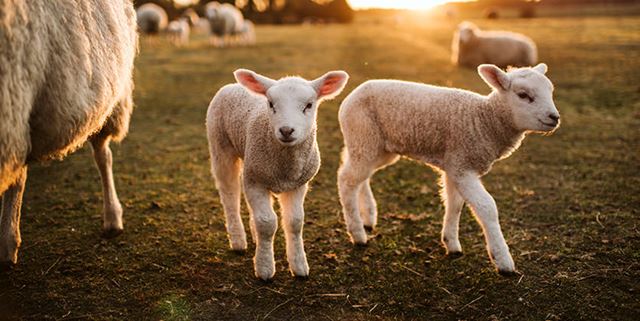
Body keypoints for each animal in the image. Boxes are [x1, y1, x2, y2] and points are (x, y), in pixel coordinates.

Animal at [206, 69, 350, 278]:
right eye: (271, 104)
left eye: (309, 105)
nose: (286, 130)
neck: (285, 168)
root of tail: (232, 85)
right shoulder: (256, 181)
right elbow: (267, 223)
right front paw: (265, 267)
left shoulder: (297, 184)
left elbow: (294, 222)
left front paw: (299, 266)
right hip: (221, 147)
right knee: (229, 195)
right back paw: (238, 240)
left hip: (250, 162)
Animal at [338, 63, 556, 274]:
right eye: (523, 95)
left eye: (550, 91)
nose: (555, 117)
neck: (484, 120)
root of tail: (354, 92)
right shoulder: (462, 167)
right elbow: (487, 207)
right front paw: (503, 260)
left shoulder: (455, 165)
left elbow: (455, 204)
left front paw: (451, 243)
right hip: (363, 136)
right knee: (347, 180)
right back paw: (358, 234)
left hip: (377, 148)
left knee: (360, 175)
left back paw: (368, 217)